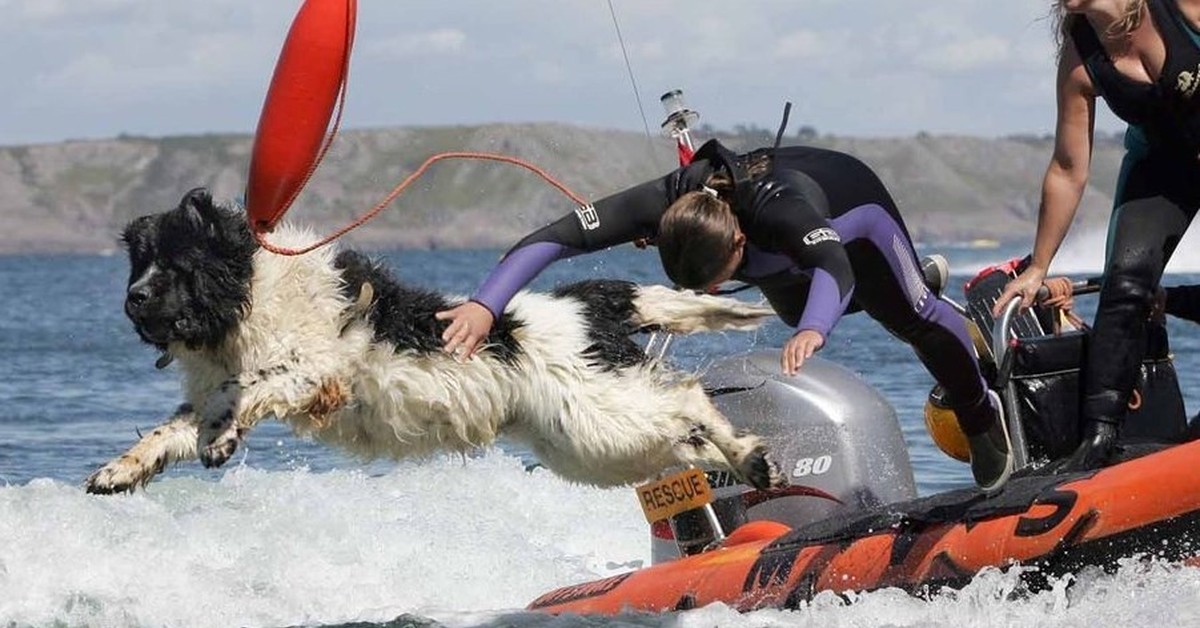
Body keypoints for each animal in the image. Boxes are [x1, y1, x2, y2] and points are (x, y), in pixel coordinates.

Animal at [88, 189, 792, 494]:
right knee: (686, 435)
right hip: (591, 444)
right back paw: (756, 464)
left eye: (177, 263)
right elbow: (177, 425)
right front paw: (119, 470)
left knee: (689, 398)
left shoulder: (314, 368)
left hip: (599, 413)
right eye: (139, 262)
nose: (133, 299)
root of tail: (594, 301)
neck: (250, 293)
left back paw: (752, 455)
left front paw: (221, 438)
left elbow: (245, 387)